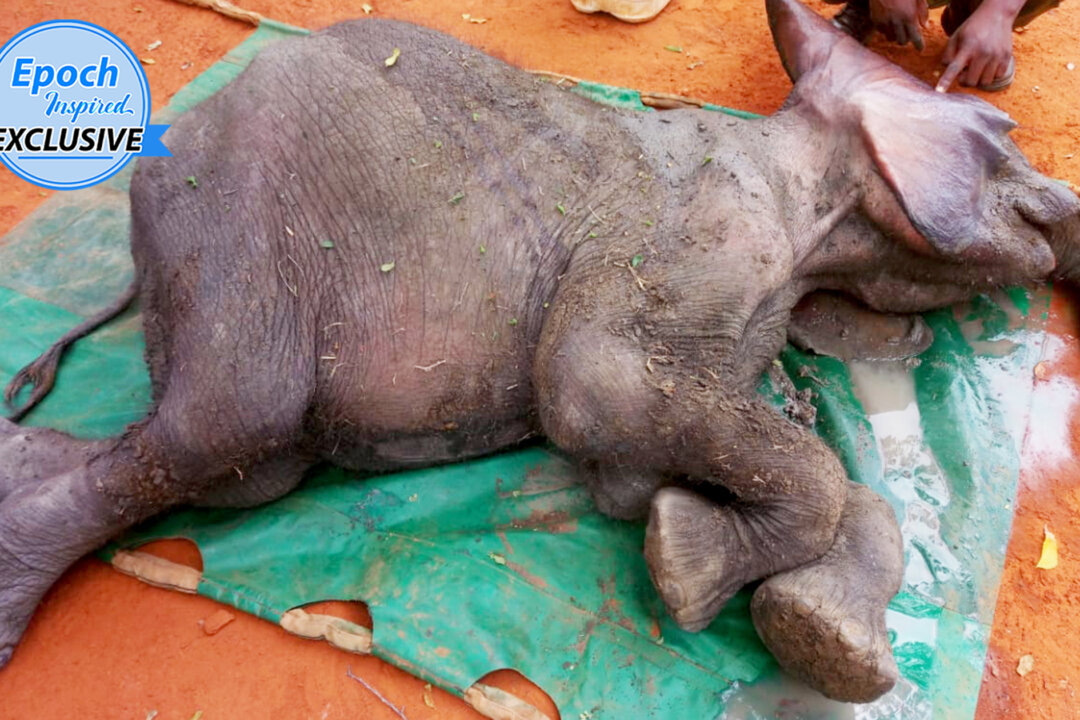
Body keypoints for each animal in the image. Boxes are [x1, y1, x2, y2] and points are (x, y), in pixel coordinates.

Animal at [2, 0, 1078, 703]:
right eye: (1005, 133)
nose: (1064, 213)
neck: (805, 195)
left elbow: (678, 458)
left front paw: (751, 584)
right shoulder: (694, 234)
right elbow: (589, 386)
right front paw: (689, 573)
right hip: (239, 228)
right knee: (220, 425)